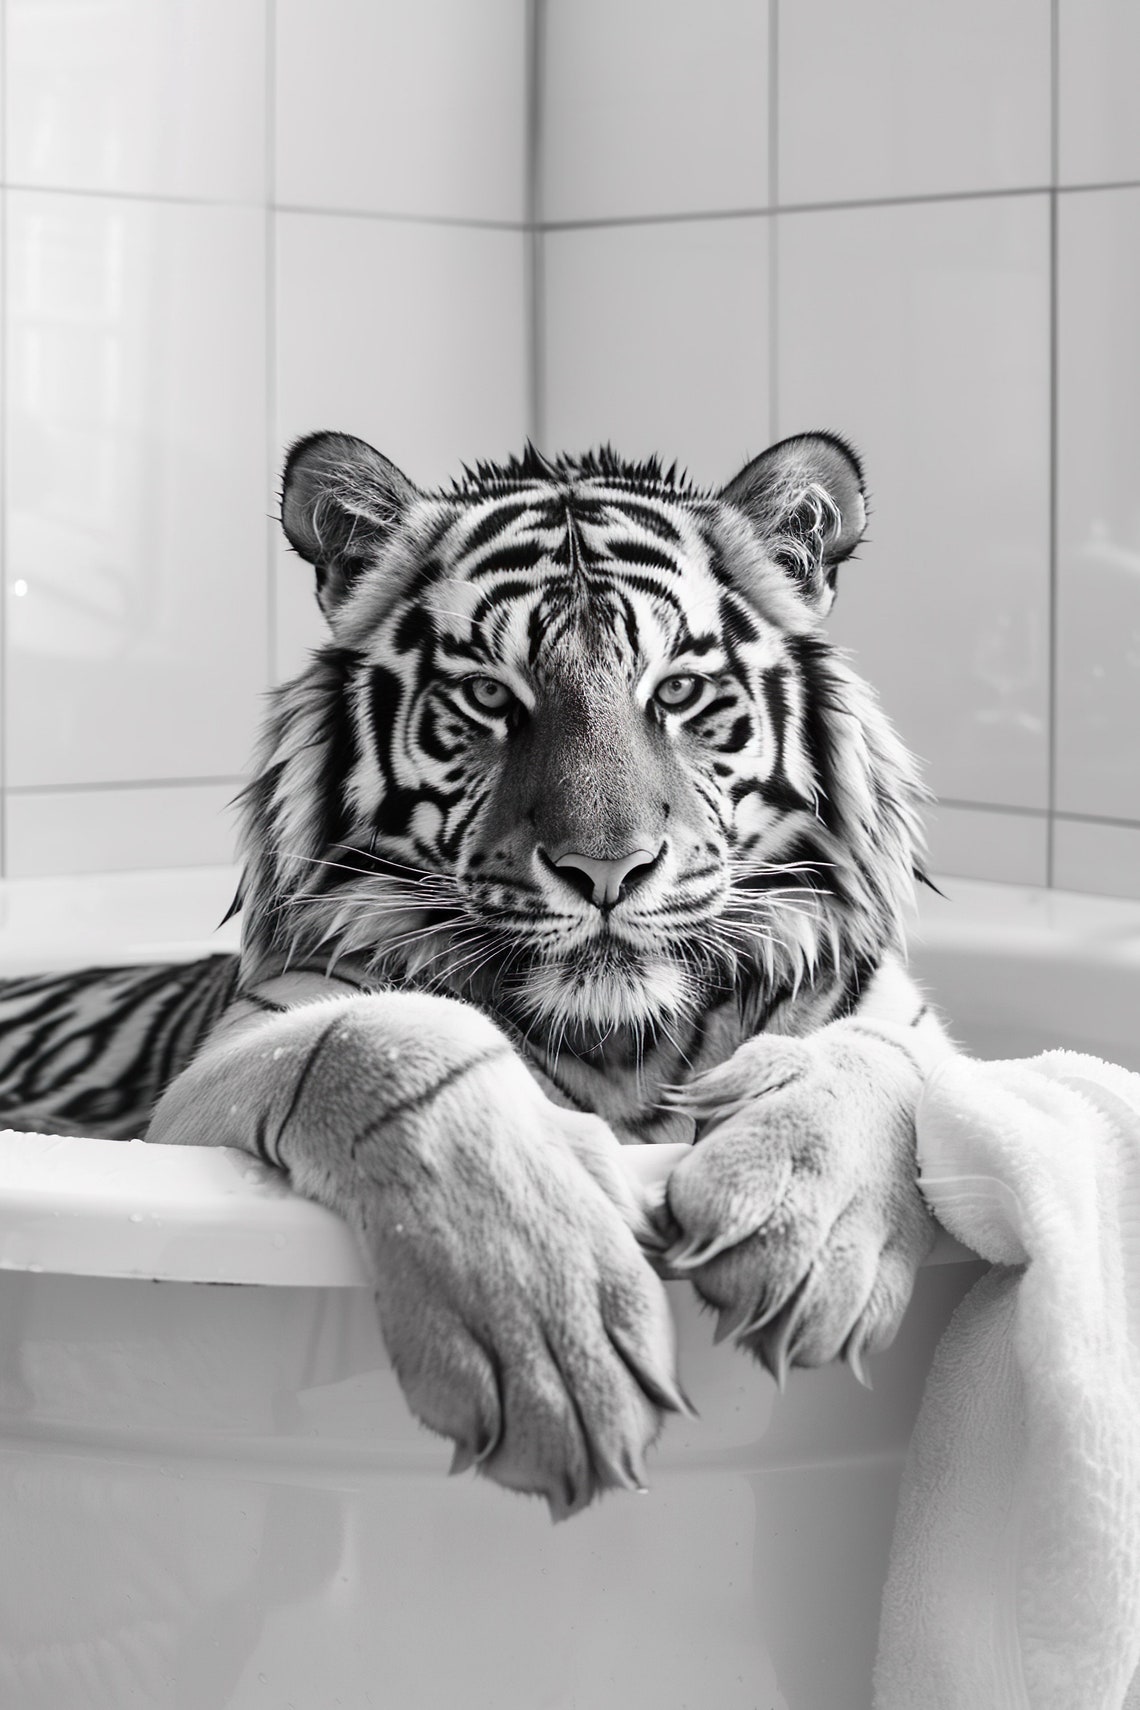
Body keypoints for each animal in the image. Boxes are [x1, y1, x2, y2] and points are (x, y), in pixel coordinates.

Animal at [0, 429, 954, 1519]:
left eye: (675, 692)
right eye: (492, 697)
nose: (607, 870)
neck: (623, 1041)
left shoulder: (895, 1016)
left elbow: (881, 1056)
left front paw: (806, 1235)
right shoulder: (239, 1054)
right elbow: (392, 1048)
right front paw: (553, 1341)